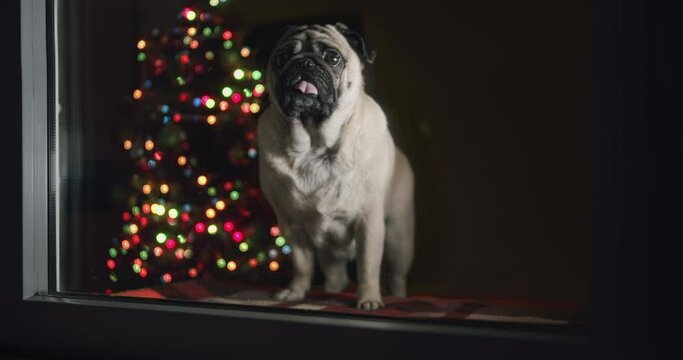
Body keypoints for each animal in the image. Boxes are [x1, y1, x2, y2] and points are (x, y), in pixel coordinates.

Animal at [258, 23, 414, 310]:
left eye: (332, 58)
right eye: (282, 58)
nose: (304, 62)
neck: (314, 146)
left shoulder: (369, 222)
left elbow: (368, 266)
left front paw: (369, 298)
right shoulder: (292, 225)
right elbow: (301, 265)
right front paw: (295, 292)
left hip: (399, 239)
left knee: (395, 275)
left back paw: (397, 298)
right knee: (335, 275)